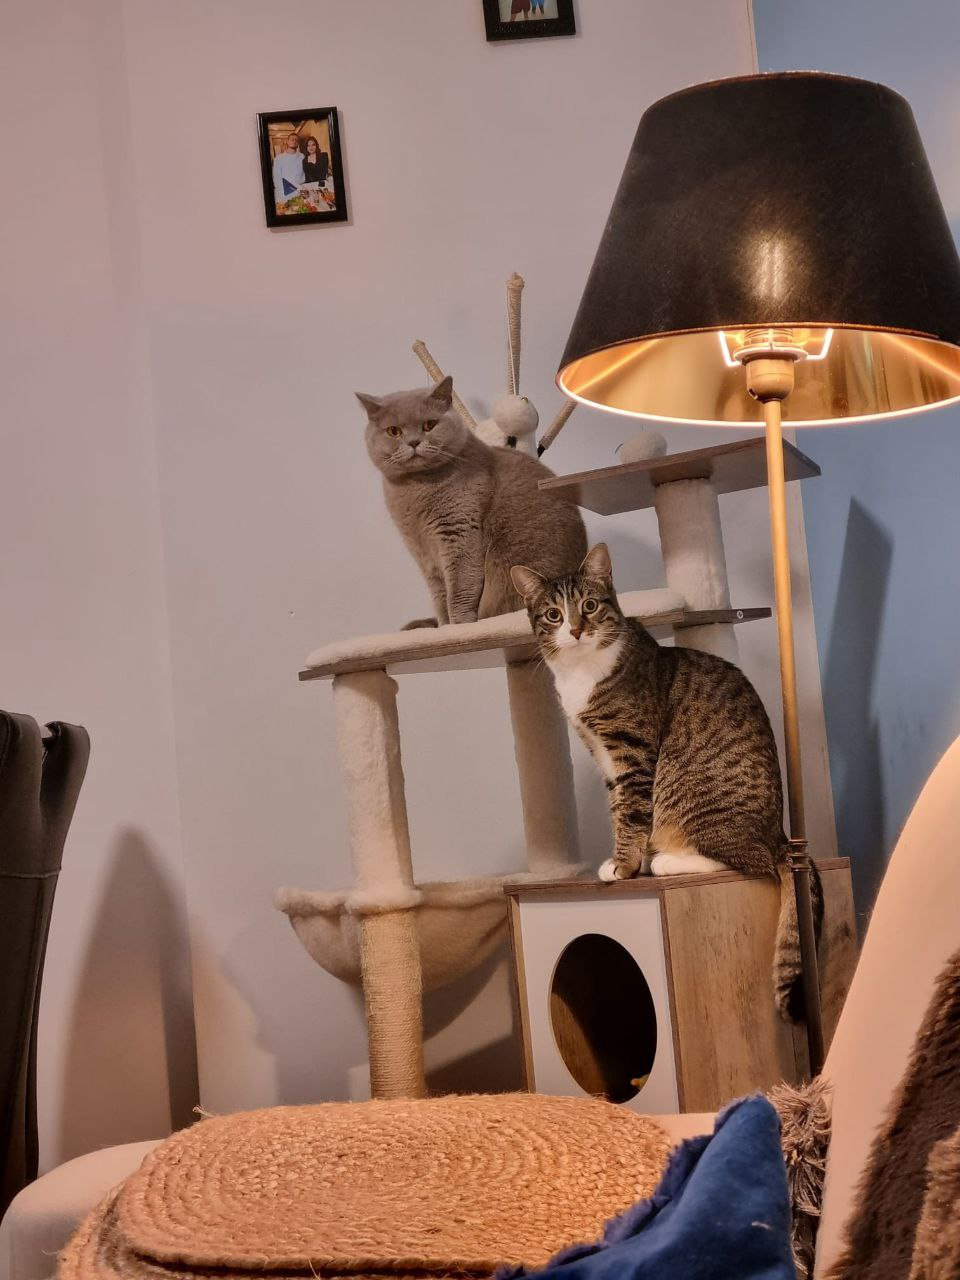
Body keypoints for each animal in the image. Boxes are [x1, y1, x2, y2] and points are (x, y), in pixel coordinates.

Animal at [358, 376, 587, 626]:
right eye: (394, 431)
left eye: (429, 425)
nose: (414, 442)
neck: (415, 490)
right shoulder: (423, 552)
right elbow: (439, 595)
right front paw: (444, 627)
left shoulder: (459, 533)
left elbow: (459, 590)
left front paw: (460, 626)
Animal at [510, 541, 817, 1019]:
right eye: (553, 615)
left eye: (590, 606)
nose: (576, 630)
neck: (582, 672)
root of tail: (781, 837)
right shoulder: (605, 758)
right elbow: (619, 807)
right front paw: (627, 860)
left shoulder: (633, 750)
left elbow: (631, 811)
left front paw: (623, 865)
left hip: (690, 799)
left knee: (753, 863)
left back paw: (667, 862)